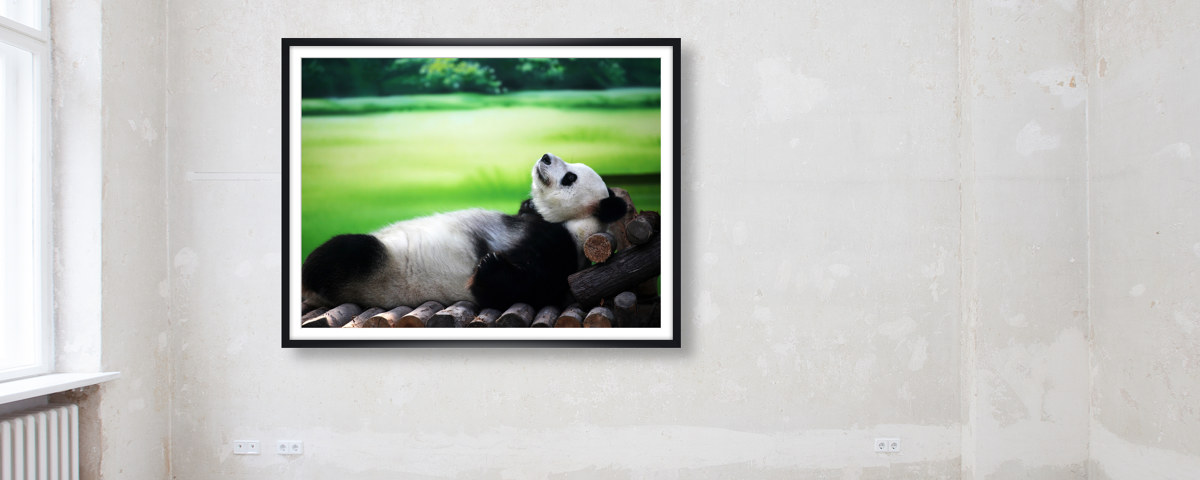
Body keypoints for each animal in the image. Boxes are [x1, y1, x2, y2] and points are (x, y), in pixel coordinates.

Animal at [301, 153, 628, 310]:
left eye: (570, 177)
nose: (545, 156)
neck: (574, 222)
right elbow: (526, 211)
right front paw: (527, 204)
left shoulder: (563, 249)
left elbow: (527, 287)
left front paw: (489, 266)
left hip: (374, 269)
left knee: (345, 251)